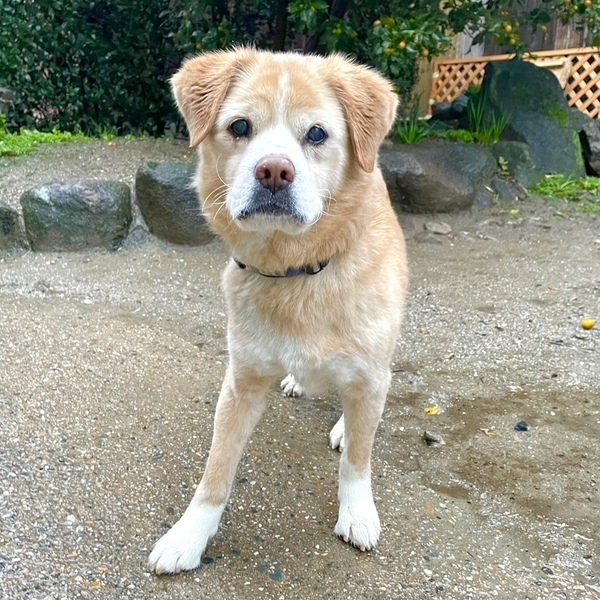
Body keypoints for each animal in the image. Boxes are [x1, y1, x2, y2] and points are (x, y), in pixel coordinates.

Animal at [148, 48, 408, 574]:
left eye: (317, 134)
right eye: (240, 126)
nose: (273, 171)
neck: (297, 272)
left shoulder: (370, 376)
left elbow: (358, 460)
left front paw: (357, 512)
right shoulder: (241, 383)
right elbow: (216, 470)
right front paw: (189, 535)